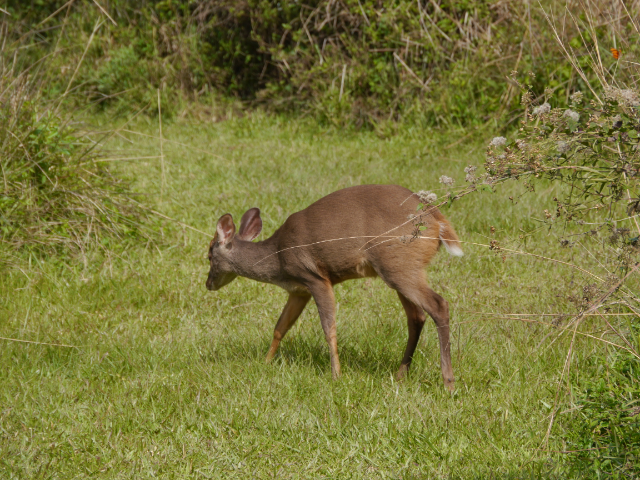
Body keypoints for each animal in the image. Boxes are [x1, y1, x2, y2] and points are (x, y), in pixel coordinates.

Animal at [208, 184, 462, 390]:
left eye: (209, 254)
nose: (208, 283)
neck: (277, 258)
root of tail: (437, 220)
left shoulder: (314, 277)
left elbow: (328, 327)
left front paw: (336, 375)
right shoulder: (298, 290)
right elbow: (281, 326)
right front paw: (266, 361)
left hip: (398, 262)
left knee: (439, 305)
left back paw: (448, 382)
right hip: (400, 267)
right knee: (416, 317)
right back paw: (401, 375)